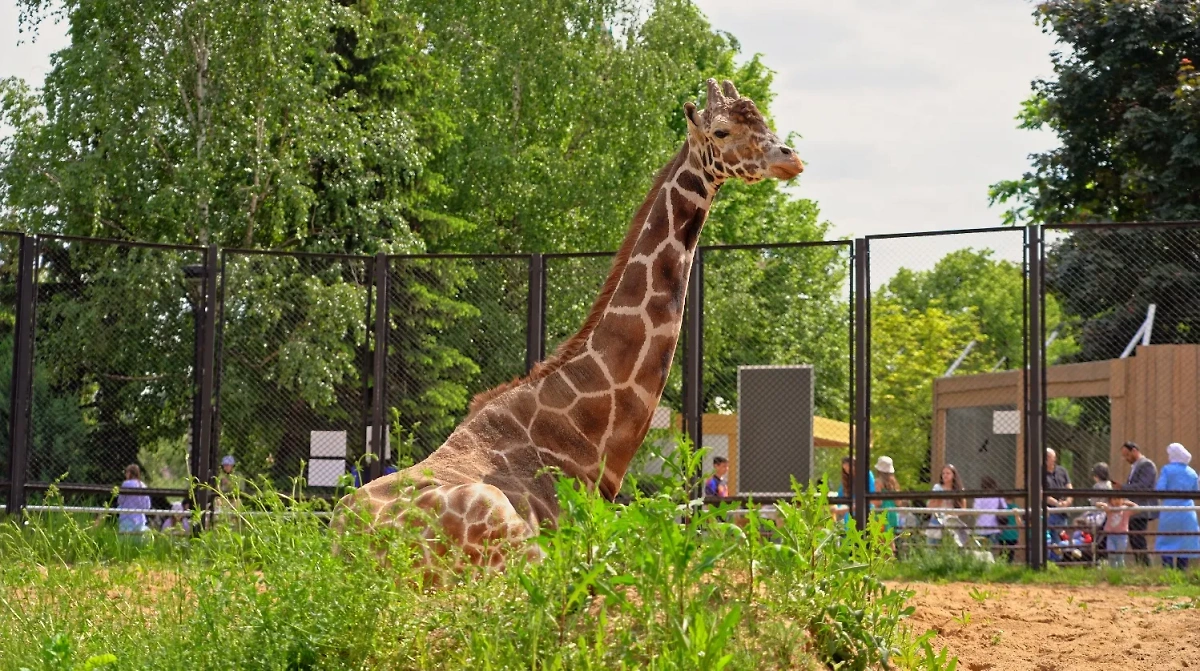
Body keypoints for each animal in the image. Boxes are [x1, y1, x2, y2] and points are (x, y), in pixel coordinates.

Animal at [336, 77, 806, 571]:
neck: (587, 431)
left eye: (763, 120)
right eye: (720, 131)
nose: (790, 158)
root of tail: (343, 547)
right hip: (507, 531)